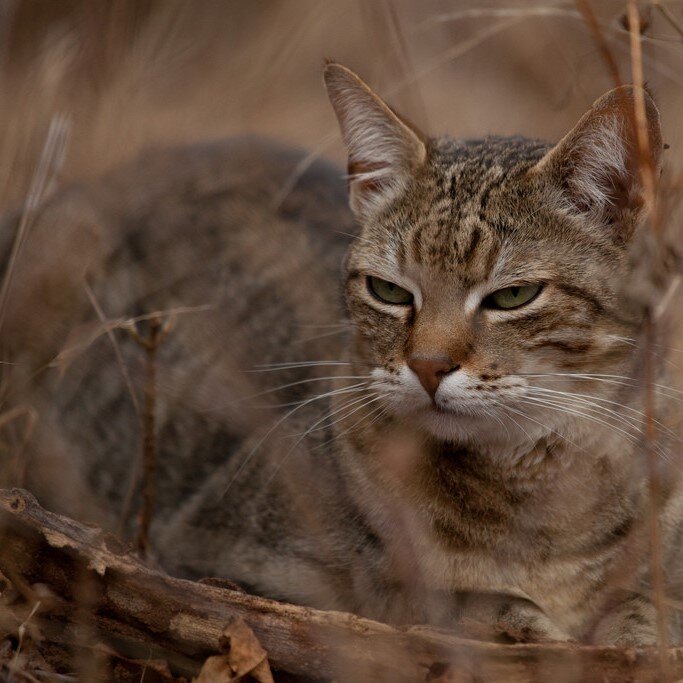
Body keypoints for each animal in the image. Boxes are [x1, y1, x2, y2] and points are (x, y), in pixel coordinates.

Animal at [2, 62, 680, 648]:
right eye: (389, 291)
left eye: (512, 296)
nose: (428, 366)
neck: (530, 502)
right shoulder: (211, 555)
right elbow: (425, 599)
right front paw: (517, 620)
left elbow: (645, 608)